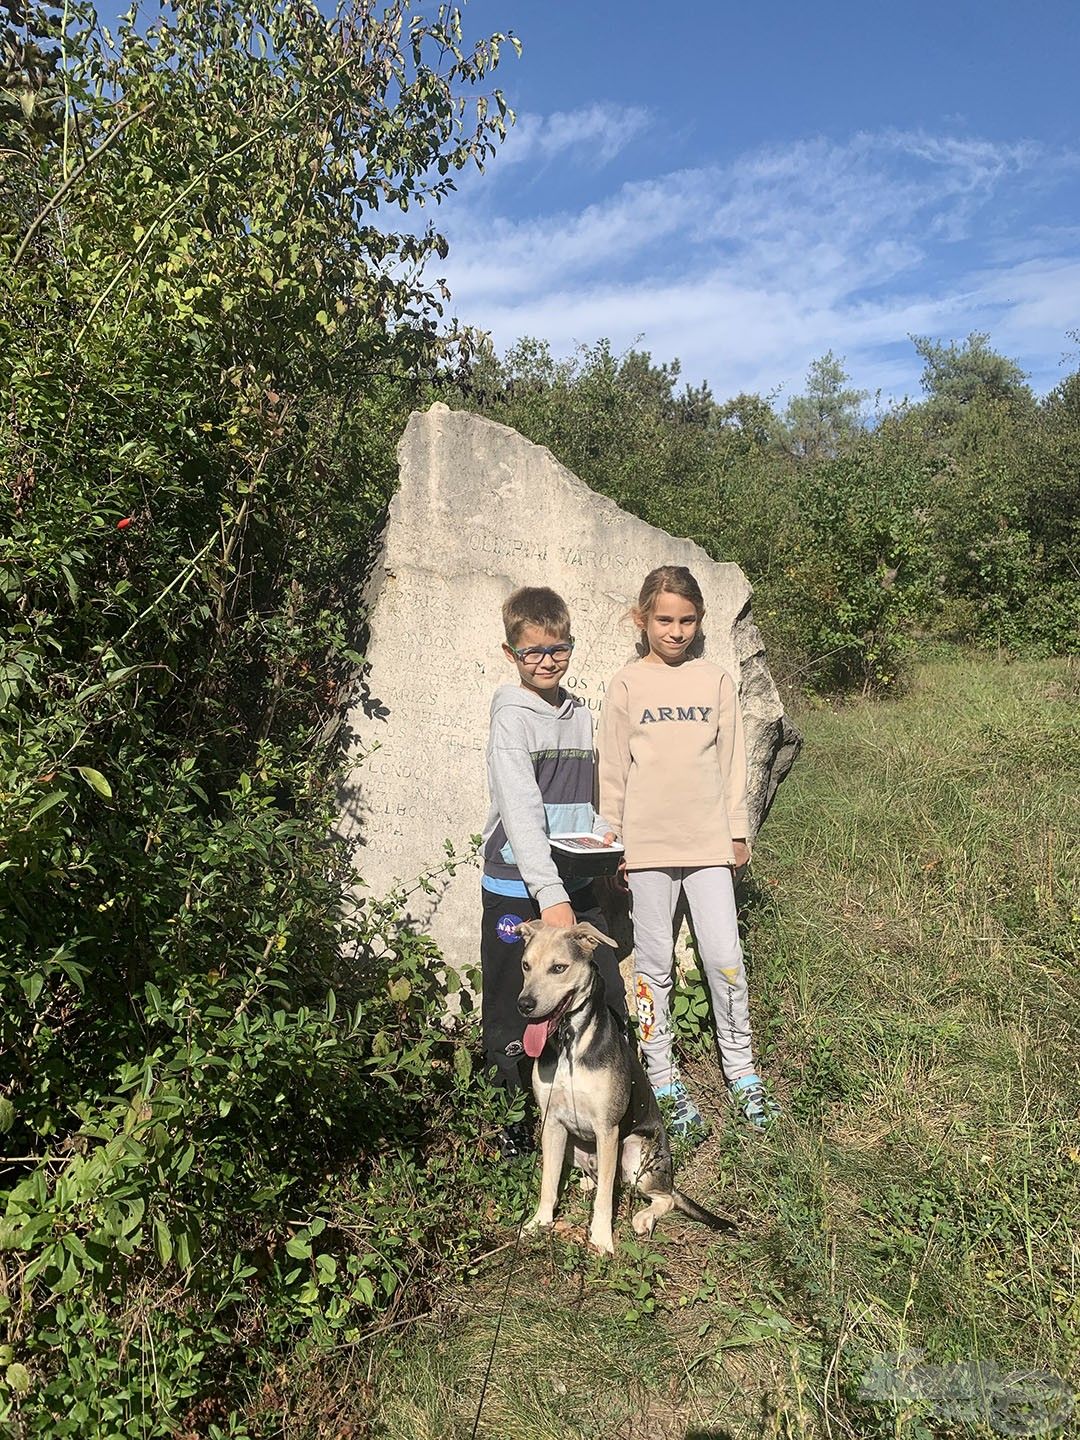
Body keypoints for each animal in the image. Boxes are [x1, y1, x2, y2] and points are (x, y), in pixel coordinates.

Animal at [515, 921, 737, 1249]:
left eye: (558, 968)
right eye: (525, 965)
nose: (524, 1005)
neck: (570, 1043)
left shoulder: (607, 1129)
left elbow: (605, 1198)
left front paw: (601, 1239)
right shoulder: (552, 1123)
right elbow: (548, 1183)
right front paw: (538, 1222)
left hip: (634, 1149)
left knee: (663, 1197)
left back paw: (643, 1217)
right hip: (572, 1144)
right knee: (600, 1180)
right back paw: (585, 1182)